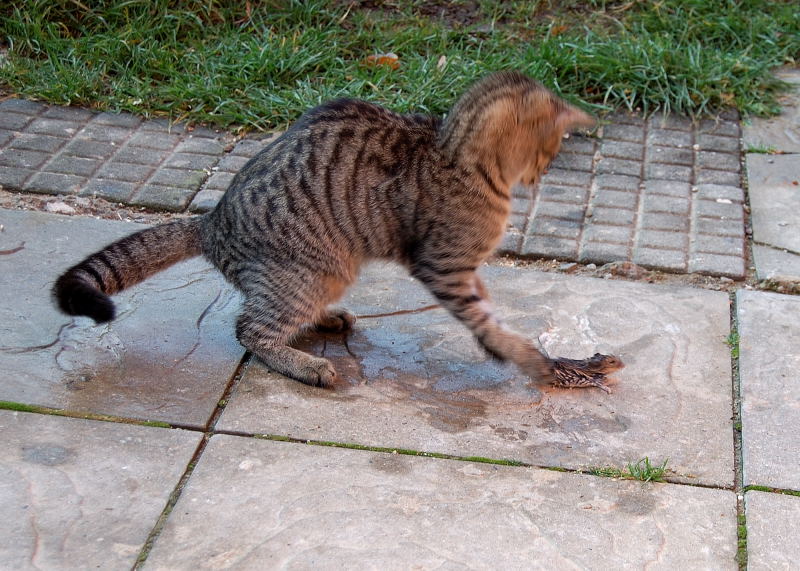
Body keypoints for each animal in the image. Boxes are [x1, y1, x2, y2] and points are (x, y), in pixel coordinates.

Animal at [54, 71, 595, 389]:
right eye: (550, 148)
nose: (544, 171)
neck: (459, 153)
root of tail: (211, 221)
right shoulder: (443, 266)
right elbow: (482, 315)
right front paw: (521, 355)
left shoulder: (463, 268)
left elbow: (485, 306)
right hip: (313, 270)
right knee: (249, 329)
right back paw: (307, 365)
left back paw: (327, 320)